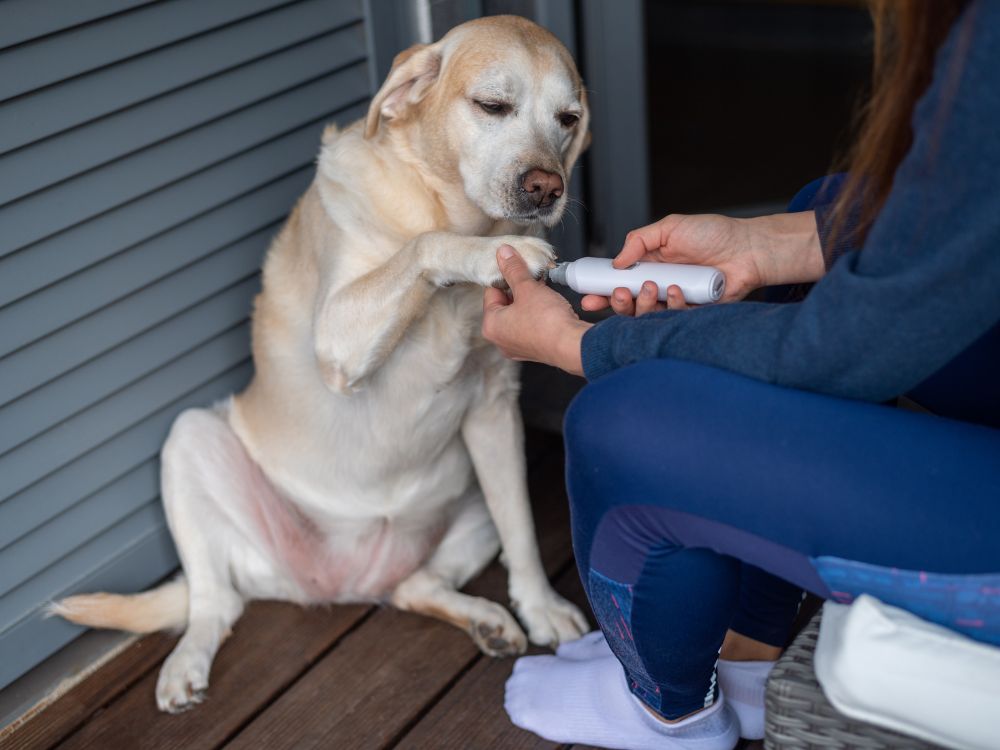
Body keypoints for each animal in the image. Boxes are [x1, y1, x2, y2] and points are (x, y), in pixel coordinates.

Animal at [52, 14, 584, 712]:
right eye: (492, 105)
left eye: (568, 119)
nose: (547, 187)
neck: (444, 205)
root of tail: (340, 584)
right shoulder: (338, 338)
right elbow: (426, 246)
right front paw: (489, 252)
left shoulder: (496, 412)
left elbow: (521, 526)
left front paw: (539, 605)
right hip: (189, 442)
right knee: (214, 605)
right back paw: (185, 666)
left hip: (468, 506)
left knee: (414, 585)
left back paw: (485, 620)